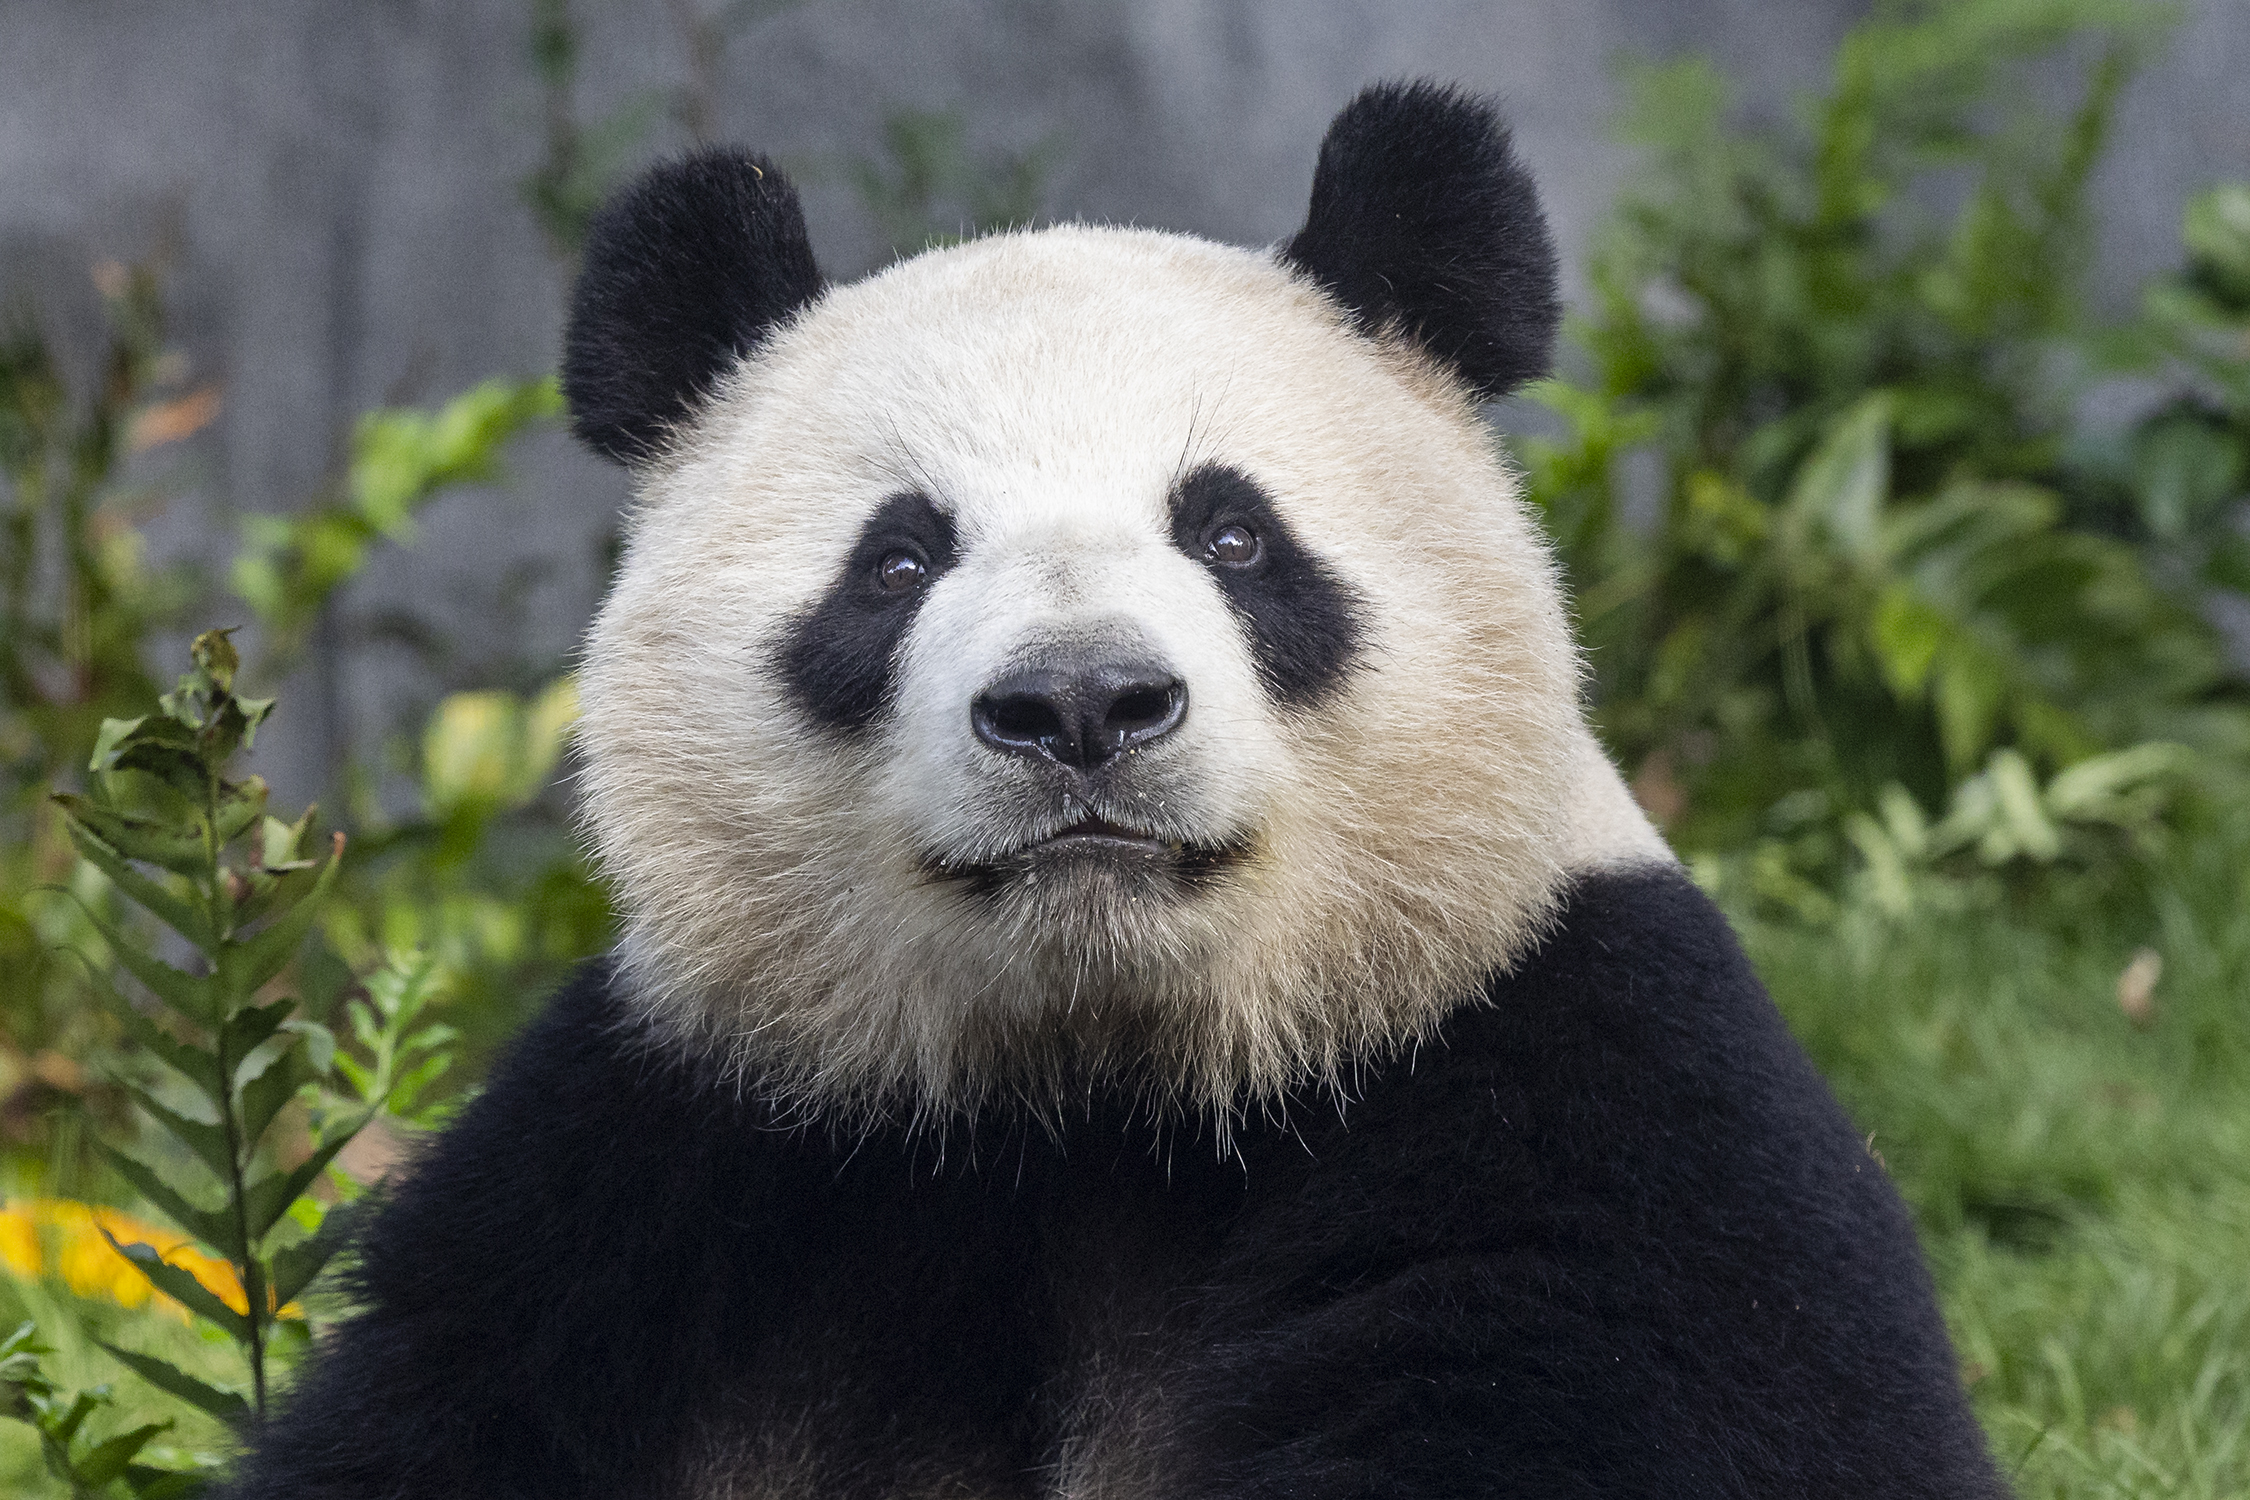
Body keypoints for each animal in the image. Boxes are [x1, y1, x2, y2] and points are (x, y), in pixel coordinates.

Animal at [227, 83, 2006, 1499]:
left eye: (1232, 534)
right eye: (895, 562)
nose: (1079, 706)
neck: (1095, 1093)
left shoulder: (1585, 1089)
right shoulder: (678, 1151)